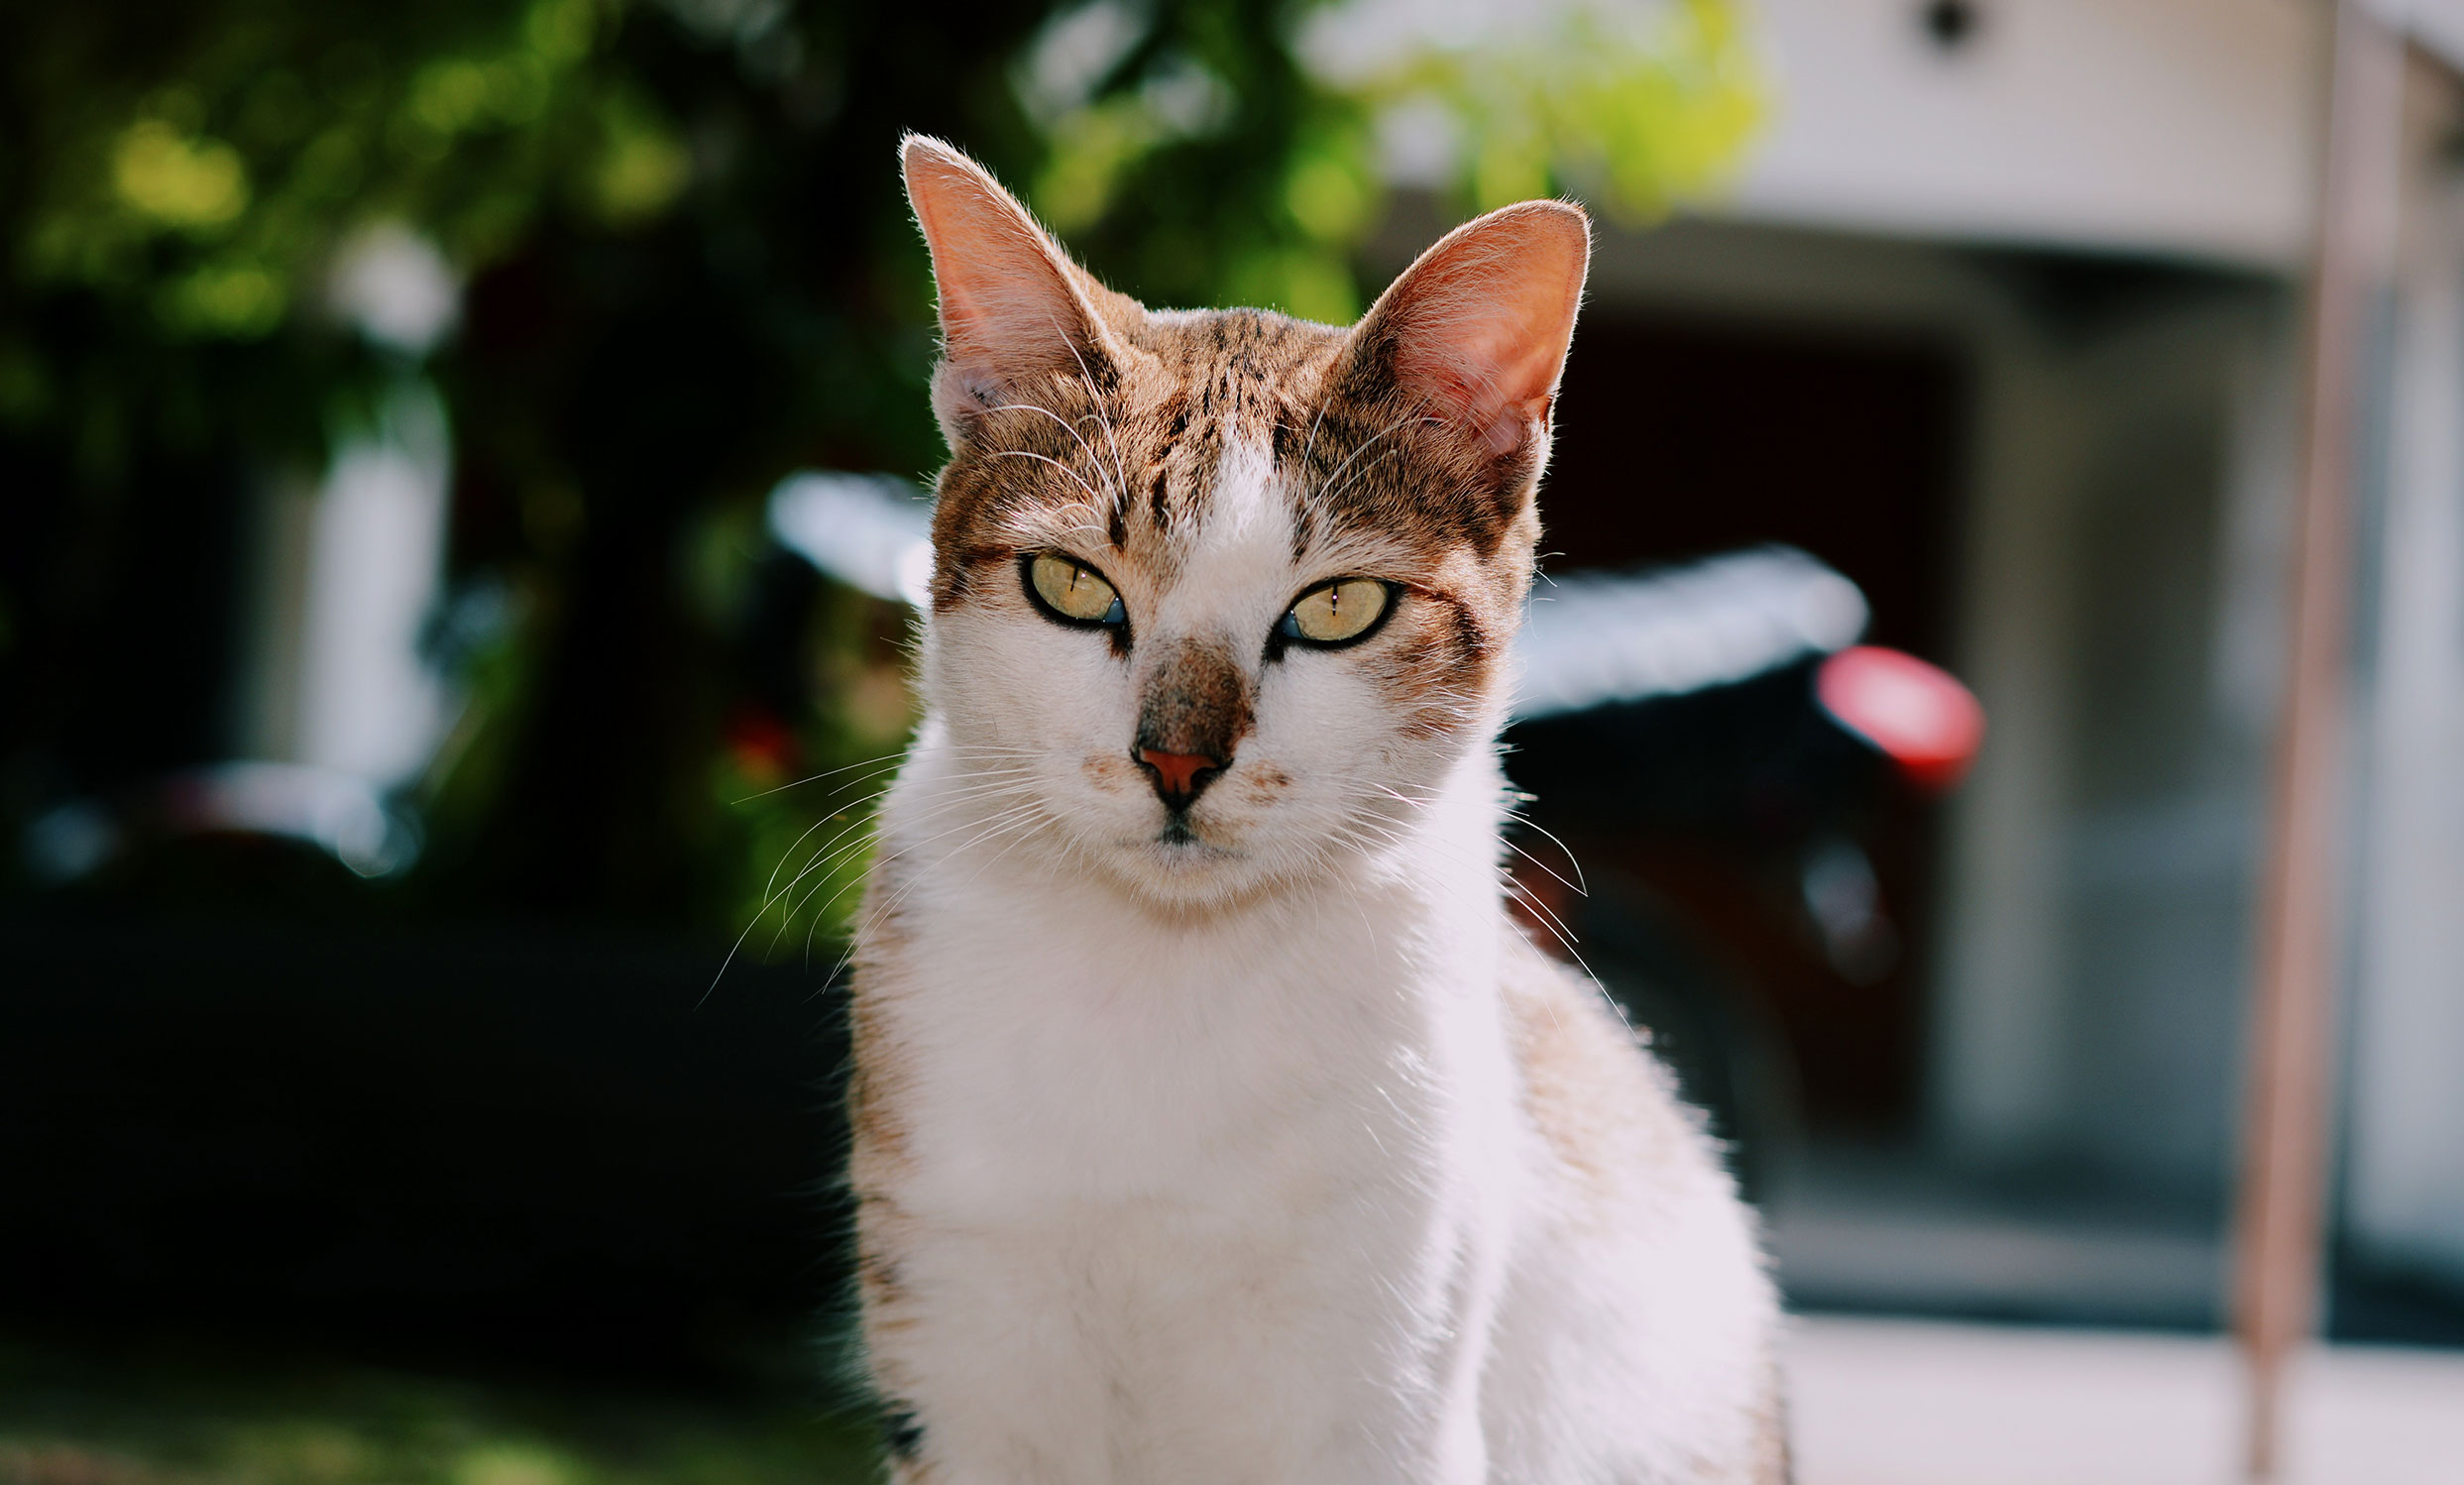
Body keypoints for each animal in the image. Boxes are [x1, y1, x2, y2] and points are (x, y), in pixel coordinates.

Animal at [847, 133, 1793, 1477]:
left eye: (1338, 607)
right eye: (1070, 586)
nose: (1175, 761)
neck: (1170, 973)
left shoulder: (1379, 1381)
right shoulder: (966, 1350)